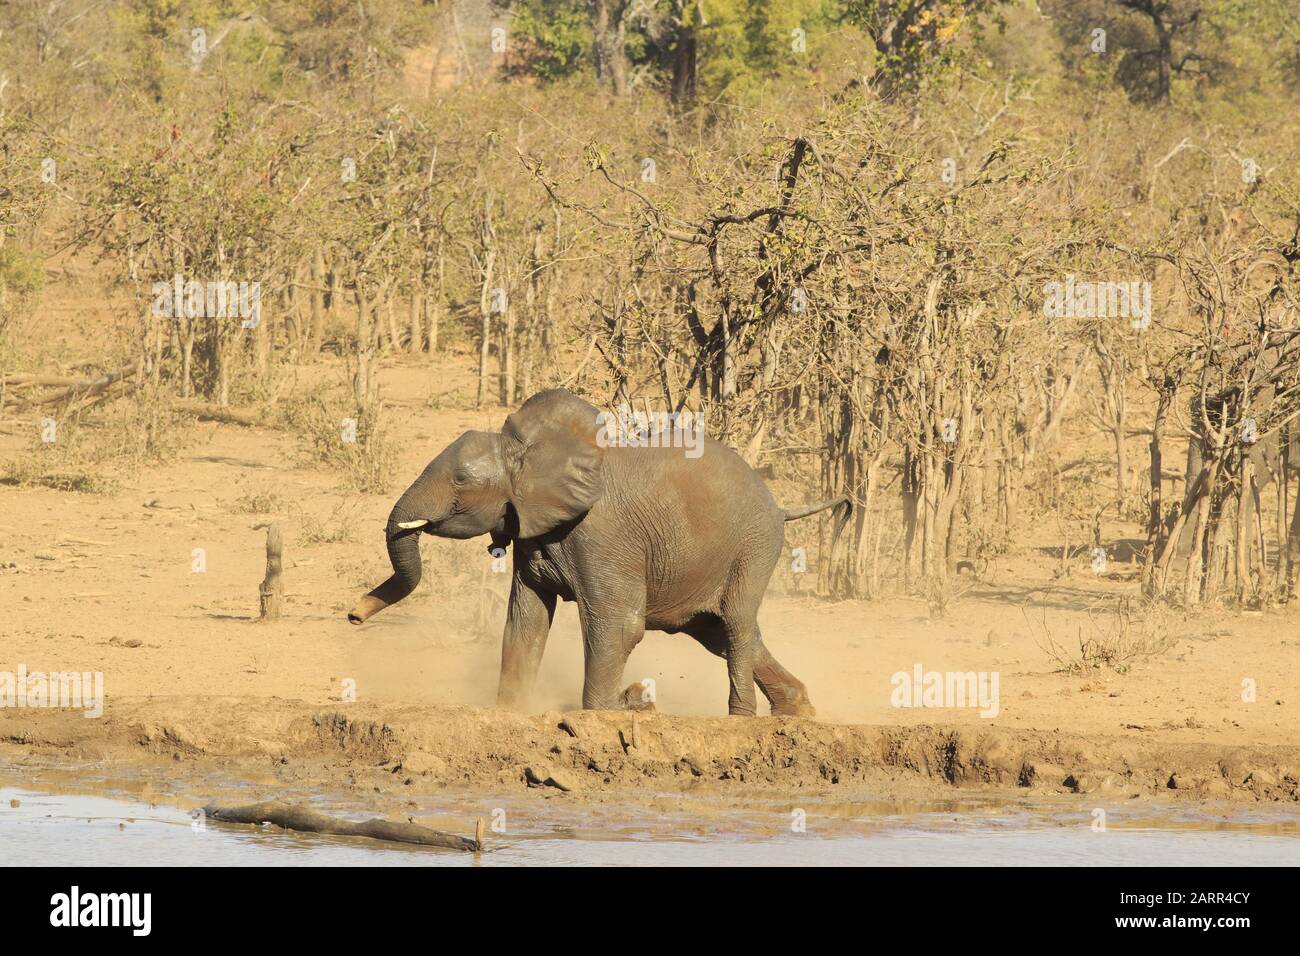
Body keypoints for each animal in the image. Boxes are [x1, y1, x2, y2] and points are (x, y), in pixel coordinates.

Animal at [348, 390, 852, 717]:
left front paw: (617, 707)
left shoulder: (602, 535)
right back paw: (798, 711)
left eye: (460, 481)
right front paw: (511, 709)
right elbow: (526, 620)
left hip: (755, 544)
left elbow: (619, 624)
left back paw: (742, 719)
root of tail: (780, 506)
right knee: (716, 632)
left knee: (736, 623)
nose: (353, 616)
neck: (531, 451)